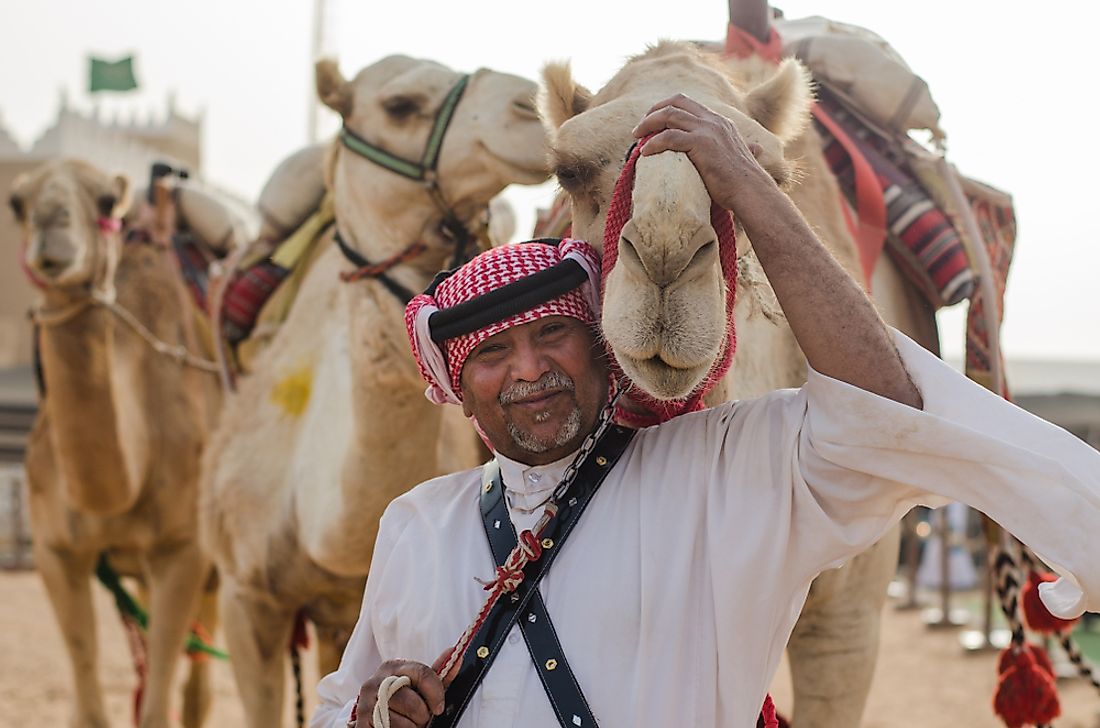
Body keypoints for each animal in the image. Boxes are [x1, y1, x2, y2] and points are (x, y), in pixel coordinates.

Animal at [12, 159, 222, 728]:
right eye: (16, 203)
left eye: (107, 201)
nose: (51, 225)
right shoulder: (55, 551)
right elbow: (88, 707)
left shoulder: (184, 550)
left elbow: (156, 710)